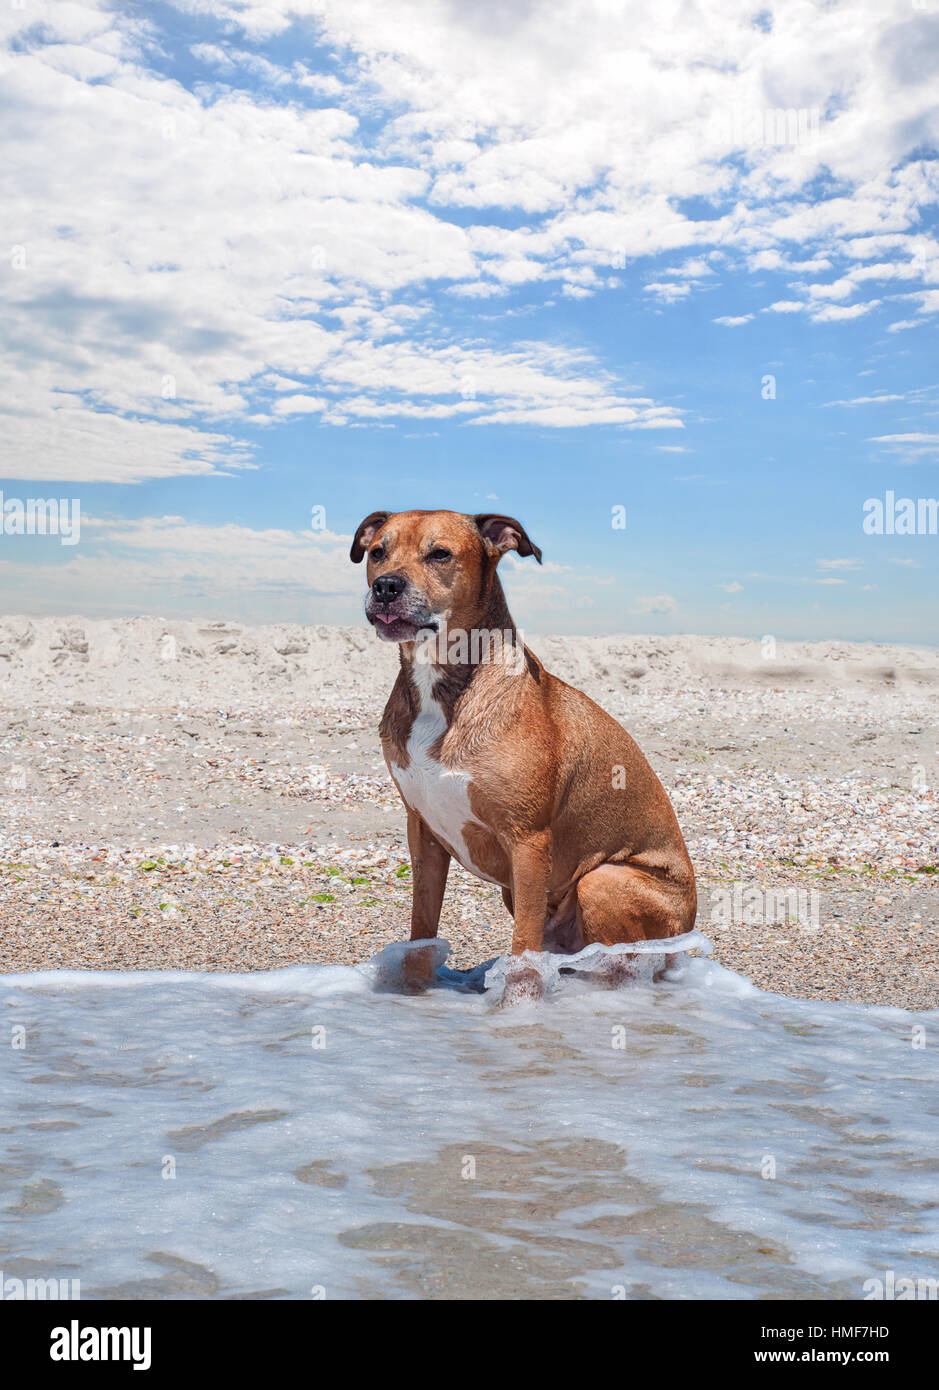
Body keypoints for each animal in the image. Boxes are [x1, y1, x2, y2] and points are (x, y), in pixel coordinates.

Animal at [352, 508, 697, 1000]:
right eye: (378, 551)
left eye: (440, 554)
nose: (385, 587)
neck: (443, 685)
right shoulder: (423, 834)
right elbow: (421, 933)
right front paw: (415, 995)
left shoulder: (528, 841)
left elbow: (523, 957)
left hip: (602, 881)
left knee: (622, 965)